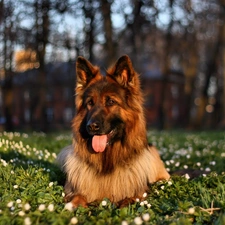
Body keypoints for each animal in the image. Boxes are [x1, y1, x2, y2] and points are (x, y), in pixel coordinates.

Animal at [57, 55, 170, 207]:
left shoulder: (140, 193)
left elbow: (129, 200)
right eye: (90, 103)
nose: (91, 126)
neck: (107, 160)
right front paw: (73, 206)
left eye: (110, 102)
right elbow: (77, 197)